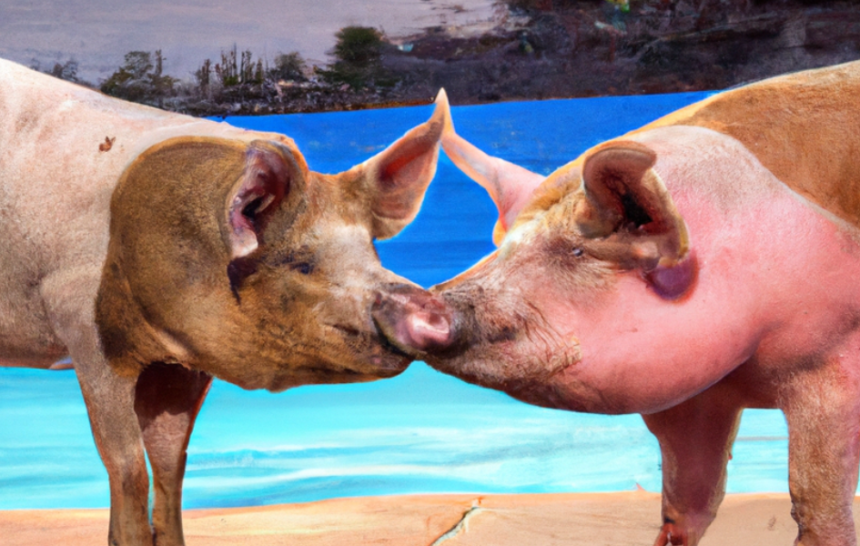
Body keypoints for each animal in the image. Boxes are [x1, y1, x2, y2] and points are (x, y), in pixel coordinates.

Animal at [0, 57, 447, 546]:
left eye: (373, 251)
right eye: (301, 263)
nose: (425, 304)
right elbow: (127, 468)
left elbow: (171, 465)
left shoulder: (181, 366)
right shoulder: (83, 329)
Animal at [373, 60, 860, 546]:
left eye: (576, 250)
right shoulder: (691, 397)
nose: (397, 301)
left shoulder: (828, 358)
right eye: (502, 247)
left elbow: (813, 496)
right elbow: (685, 502)